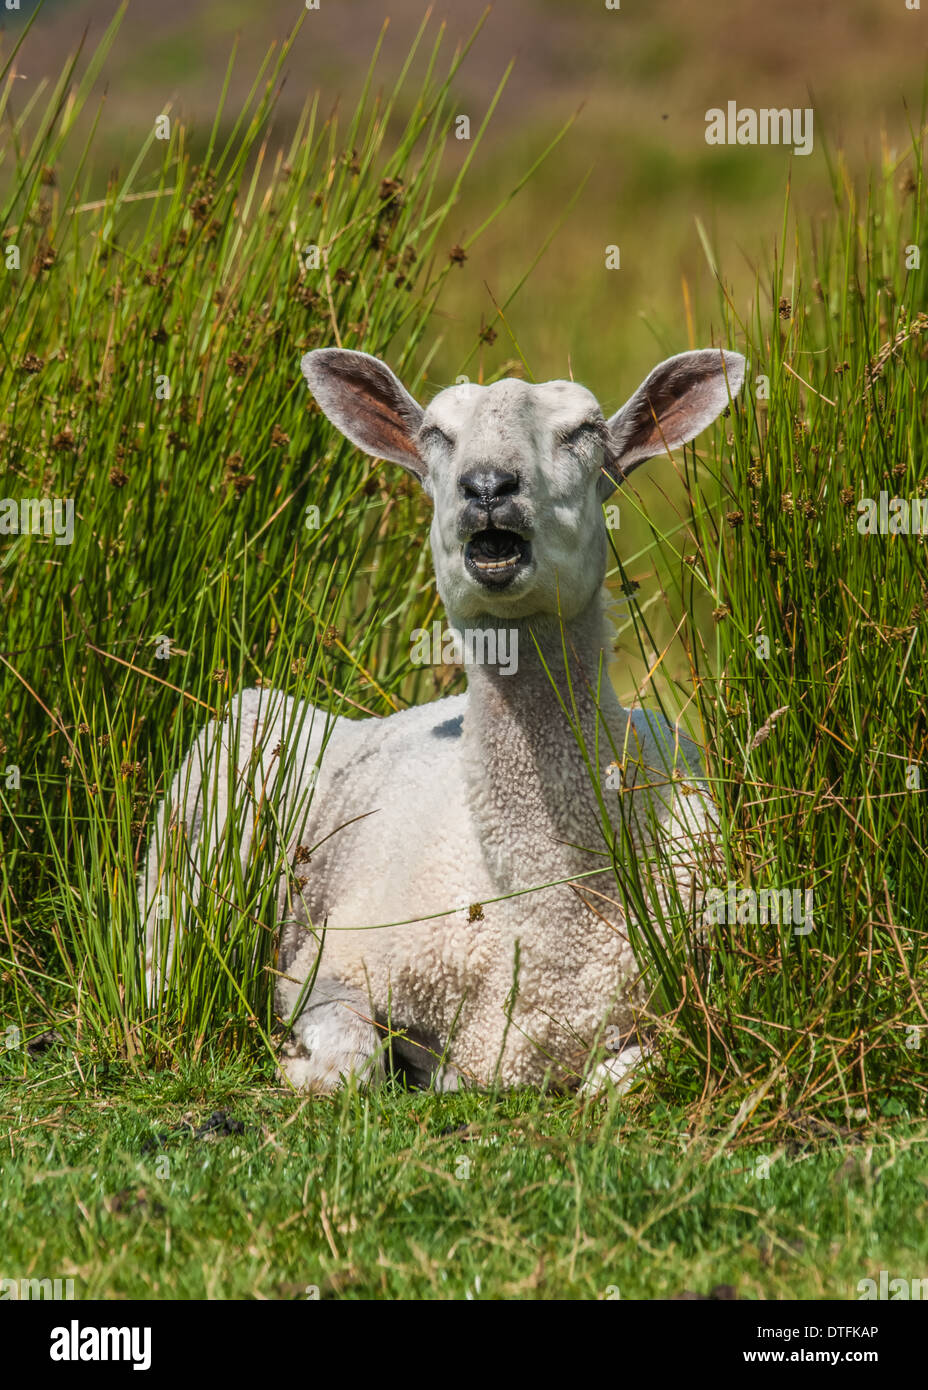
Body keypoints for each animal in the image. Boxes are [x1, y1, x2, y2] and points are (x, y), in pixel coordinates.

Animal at [141, 345, 744, 1094]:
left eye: (585, 431)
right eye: (435, 434)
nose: (488, 486)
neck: (546, 913)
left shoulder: (690, 996)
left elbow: (628, 1079)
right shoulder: (327, 967)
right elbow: (354, 1064)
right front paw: (301, 1065)